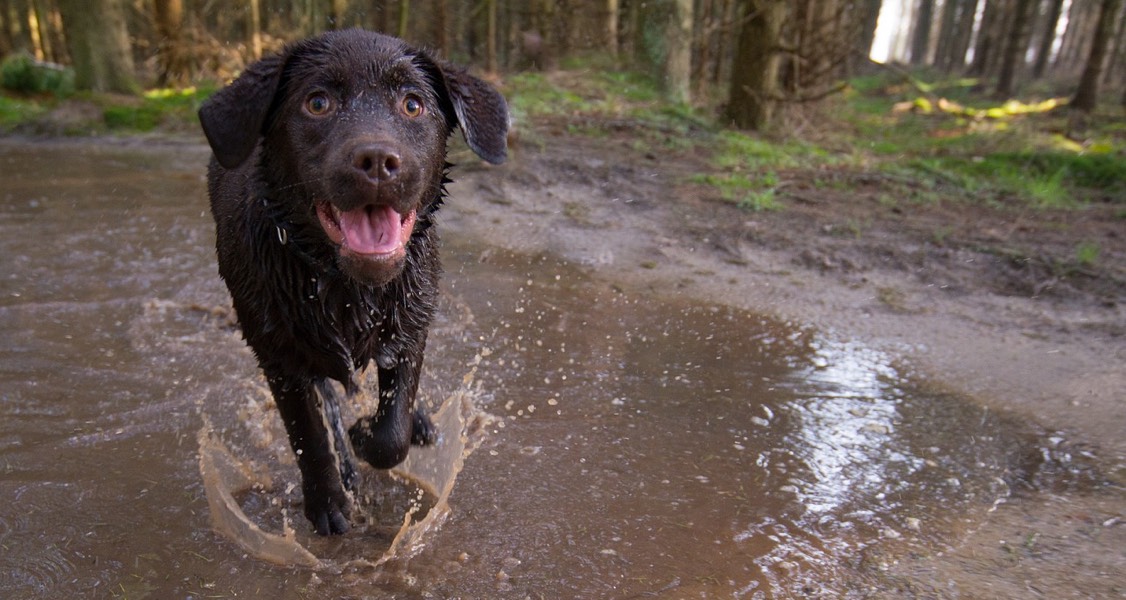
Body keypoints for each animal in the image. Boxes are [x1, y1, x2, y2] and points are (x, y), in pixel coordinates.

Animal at [197, 29, 506, 533]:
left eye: (413, 104)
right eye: (317, 102)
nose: (378, 160)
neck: (345, 287)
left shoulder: (411, 327)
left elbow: (393, 430)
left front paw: (371, 433)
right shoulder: (279, 356)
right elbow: (309, 435)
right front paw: (328, 501)